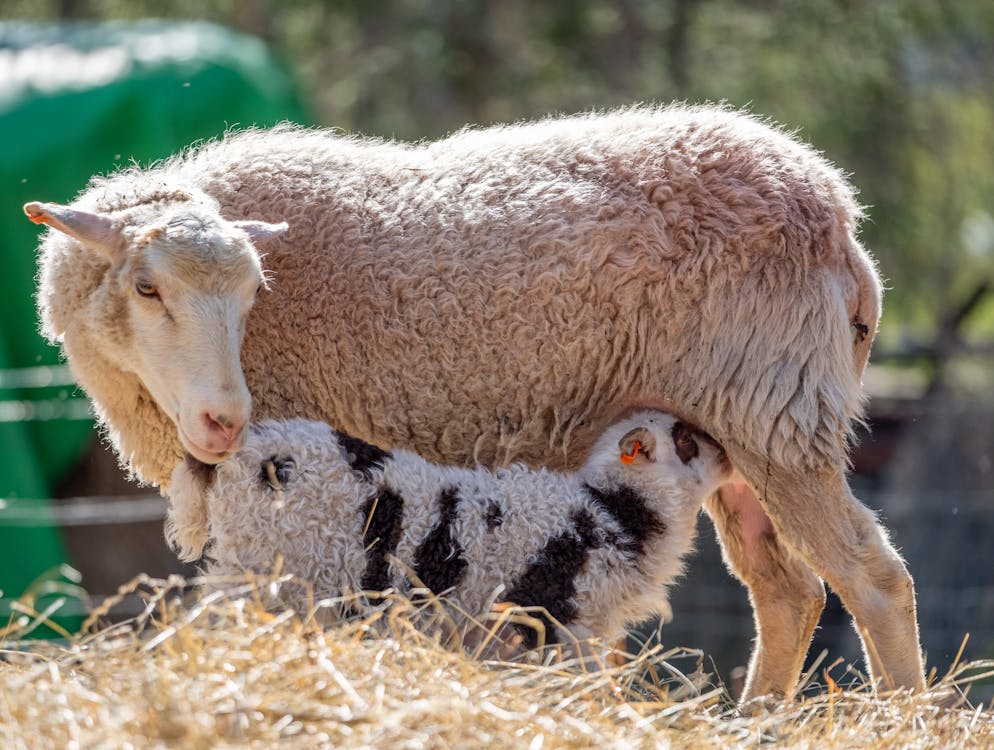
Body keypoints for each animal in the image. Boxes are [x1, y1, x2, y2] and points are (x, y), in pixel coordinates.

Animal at [167, 412, 732, 652]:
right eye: (685, 439)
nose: (727, 453)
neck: (615, 511)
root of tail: (243, 451)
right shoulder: (559, 615)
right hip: (264, 569)